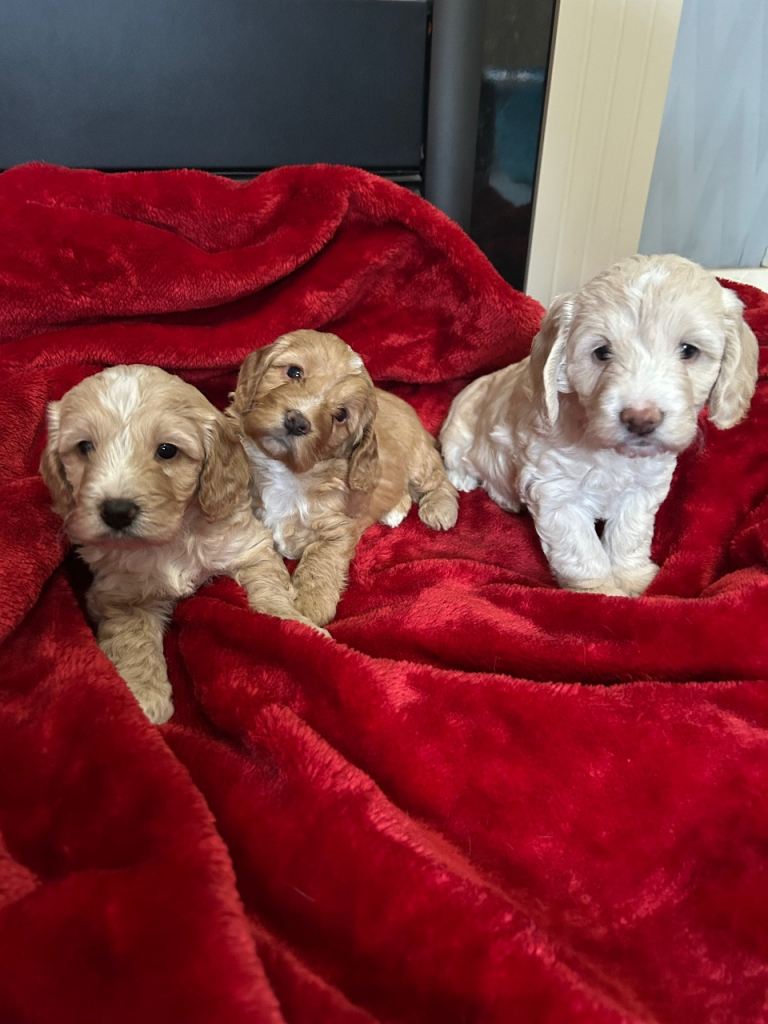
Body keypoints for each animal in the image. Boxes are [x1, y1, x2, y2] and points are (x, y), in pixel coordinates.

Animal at [40, 364, 319, 724]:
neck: (173, 537)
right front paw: (142, 697)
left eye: (167, 451)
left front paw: (296, 625)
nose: (117, 512)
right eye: (84, 447)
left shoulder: (248, 545)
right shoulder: (118, 593)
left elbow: (272, 591)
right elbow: (132, 639)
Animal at [228, 329, 458, 625]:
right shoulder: (249, 530)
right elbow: (264, 572)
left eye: (340, 415)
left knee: (441, 480)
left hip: (420, 461)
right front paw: (282, 612)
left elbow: (320, 561)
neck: (287, 471)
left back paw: (440, 509)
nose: (297, 421)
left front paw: (311, 608)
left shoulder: (337, 529)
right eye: (294, 372)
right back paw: (394, 510)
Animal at [440, 254, 759, 596]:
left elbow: (630, 533)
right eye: (602, 352)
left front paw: (633, 577)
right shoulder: (557, 493)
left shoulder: (642, 490)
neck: (607, 449)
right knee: (459, 461)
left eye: (688, 350)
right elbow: (582, 550)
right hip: (457, 434)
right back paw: (469, 482)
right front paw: (600, 591)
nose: (640, 419)